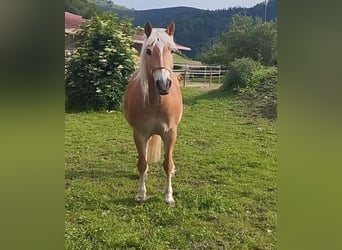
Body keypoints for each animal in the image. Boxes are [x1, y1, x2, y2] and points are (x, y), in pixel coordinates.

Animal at [123, 20, 182, 206]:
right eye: (148, 51)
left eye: (172, 51)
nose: (163, 84)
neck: (157, 103)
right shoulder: (139, 133)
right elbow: (142, 163)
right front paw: (141, 194)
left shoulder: (170, 133)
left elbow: (167, 164)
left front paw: (169, 196)